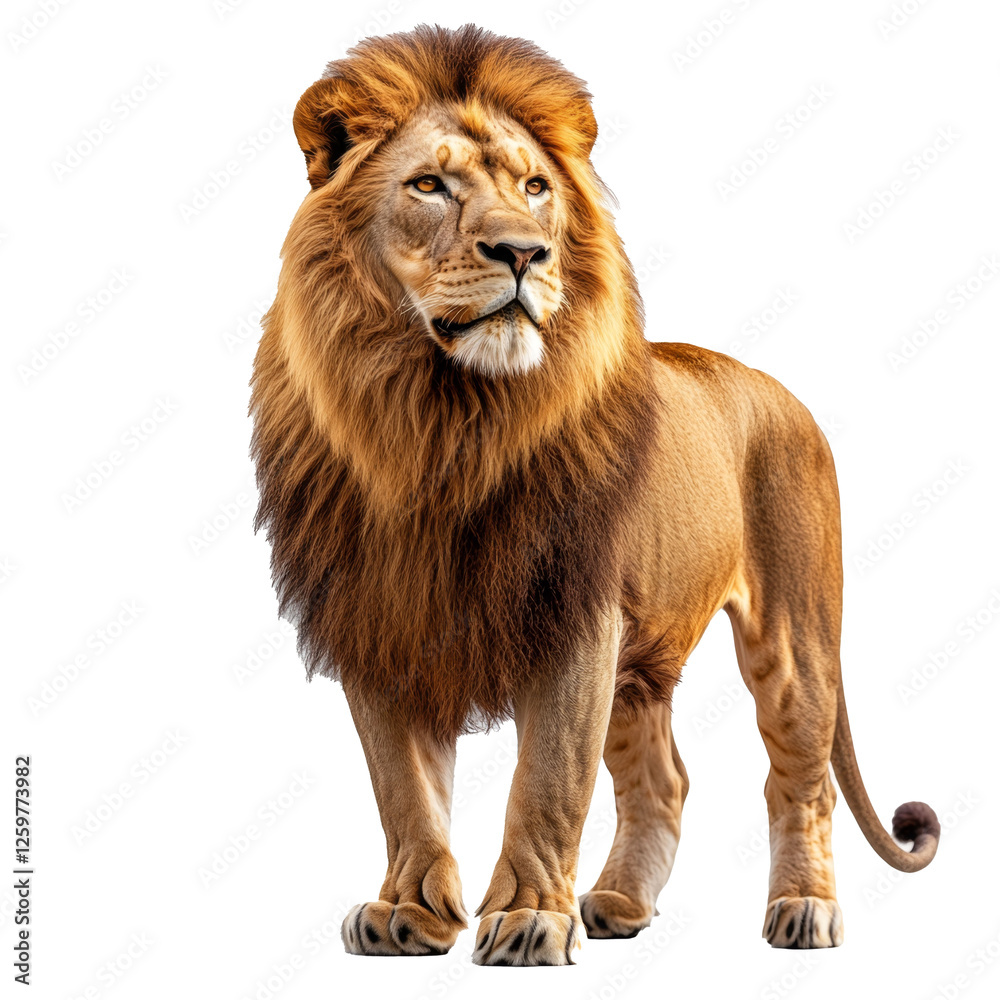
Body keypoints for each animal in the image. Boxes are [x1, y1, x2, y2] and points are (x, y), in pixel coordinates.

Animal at [250, 25, 940, 966]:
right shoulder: (381, 618)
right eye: (429, 185)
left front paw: (530, 920)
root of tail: (782, 391)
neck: (439, 423)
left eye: (535, 189)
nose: (522, 253)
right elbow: (404, 790)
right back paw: (618, 903)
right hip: (638, 666)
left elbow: (548, 782)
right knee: (664, 779)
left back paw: (803, 910)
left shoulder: (575, 613)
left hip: (793, 634)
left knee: (798, 777)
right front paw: (409, 913)